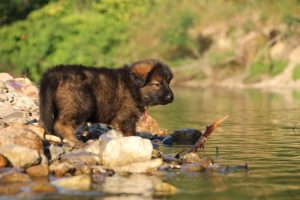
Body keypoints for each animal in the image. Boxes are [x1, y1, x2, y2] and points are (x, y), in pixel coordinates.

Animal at [38, 59, 173, 145]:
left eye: (168, 82)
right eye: (157, 84)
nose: (171, 97)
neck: (132, 86)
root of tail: (56, 72)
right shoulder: (125, 117)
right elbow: (130, 133)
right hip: (81, 103)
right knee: (61, 123)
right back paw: (75, 140)